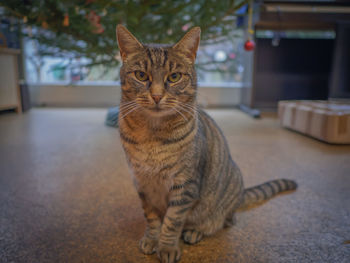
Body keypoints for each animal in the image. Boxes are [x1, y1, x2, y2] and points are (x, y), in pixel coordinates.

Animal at [116, 25, 296, 263]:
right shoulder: (143, 183)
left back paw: (195, 231)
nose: (156, 96)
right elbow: (152, 218)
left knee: (226, 220)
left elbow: (172, 221)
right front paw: (151, 239)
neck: (152, 135)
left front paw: (167, 246)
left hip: (225, 195)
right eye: (141, 75)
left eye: (174, 77)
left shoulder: (185, 184)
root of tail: (241, 194)